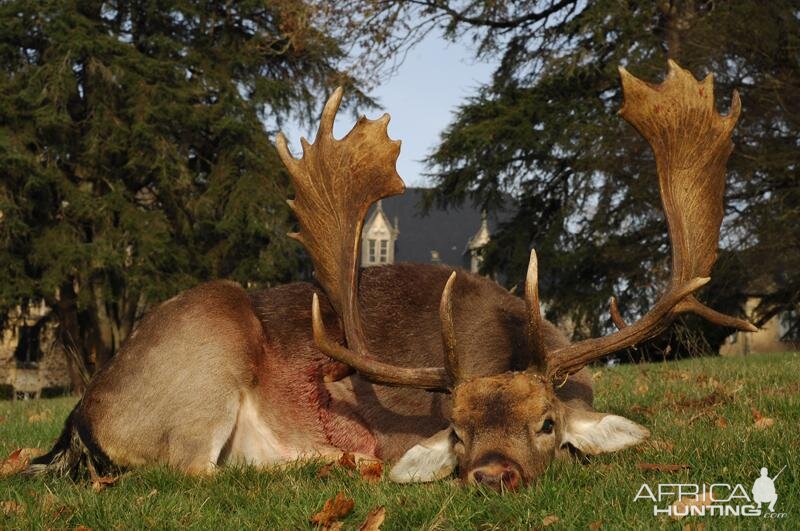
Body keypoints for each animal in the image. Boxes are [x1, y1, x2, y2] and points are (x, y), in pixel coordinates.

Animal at [29, 61, 756, 490]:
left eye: (547, 423)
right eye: (455, 432)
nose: (492, 473)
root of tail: (84, 412)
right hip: (207, 349)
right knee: (194, 470)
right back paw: (331, 460)